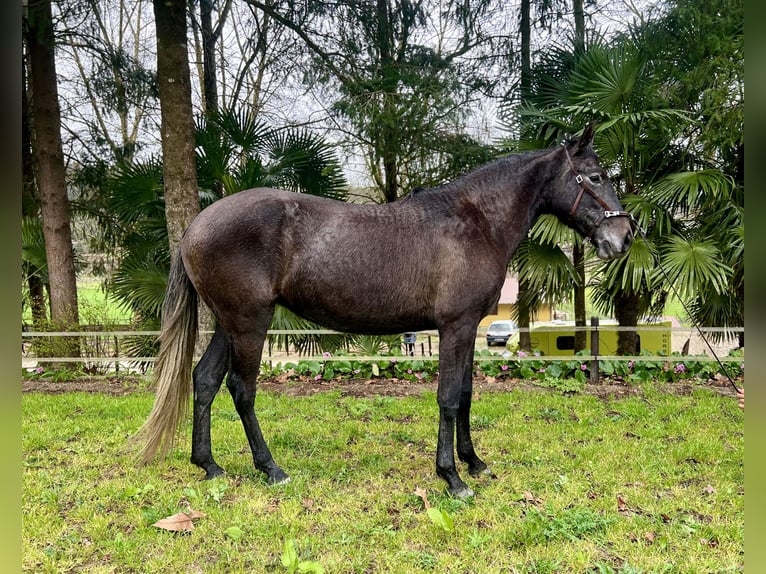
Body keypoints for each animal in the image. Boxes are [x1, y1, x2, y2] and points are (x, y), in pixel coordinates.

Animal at [138, 125, 636, 500]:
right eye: (594, 176)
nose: (624, 237)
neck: (476, 221)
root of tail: (196, 226)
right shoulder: (455, 328)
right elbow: (449, 397)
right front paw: (452, 477)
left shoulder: (468, 330)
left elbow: (467, 395)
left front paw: (474, 463)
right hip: (249, 323)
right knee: (242, 390)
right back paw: (271, 469)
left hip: (230, 323)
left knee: (204, 380)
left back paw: (209, 465)